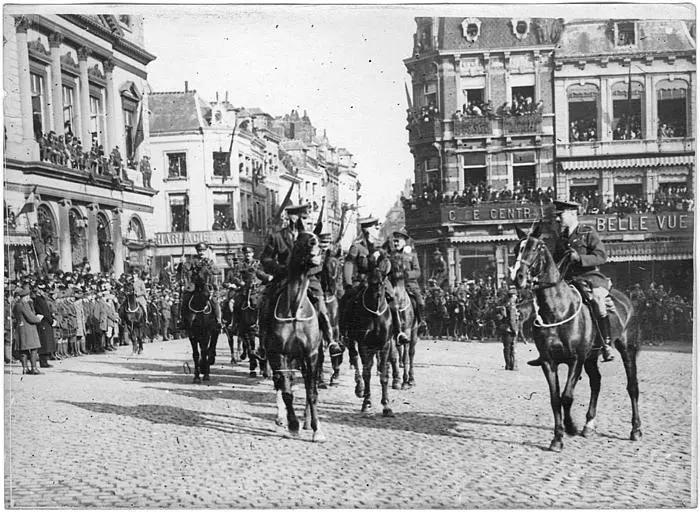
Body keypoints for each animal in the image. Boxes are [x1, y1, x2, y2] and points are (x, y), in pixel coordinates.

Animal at [266, 231, 326, 440]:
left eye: (317, 239)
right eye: (301, 239)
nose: (314, 244)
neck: (295, 308)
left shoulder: (311, 355)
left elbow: (311, 391)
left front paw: (317, 429)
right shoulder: (280, 354)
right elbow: (286, 392)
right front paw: (292, 424)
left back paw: (309, 422)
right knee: (282, 383)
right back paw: (283, 418)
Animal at [348, 264, 396, 416]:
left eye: (382, 281)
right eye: (370, 281)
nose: (377, 297)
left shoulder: (385, 344)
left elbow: (384, 374)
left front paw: (386, 405)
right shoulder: (363, 344)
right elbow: (366, 373)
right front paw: (367, 402)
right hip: (350, 340)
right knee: (355, 358)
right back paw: (359, 388)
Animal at [508, 224, 640, 452]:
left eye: (535, 248)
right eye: (517, 249)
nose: (518, 277)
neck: (558, 310)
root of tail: (626, 300)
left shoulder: (575, 360)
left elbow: (567, 397)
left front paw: (569, 427)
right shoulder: (549, 362)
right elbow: (555, 399)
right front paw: (557, 438)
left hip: (626, 348)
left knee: (632, 386)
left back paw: (636, 430)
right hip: (591, 357)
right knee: (596, 382)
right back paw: (589, 425)